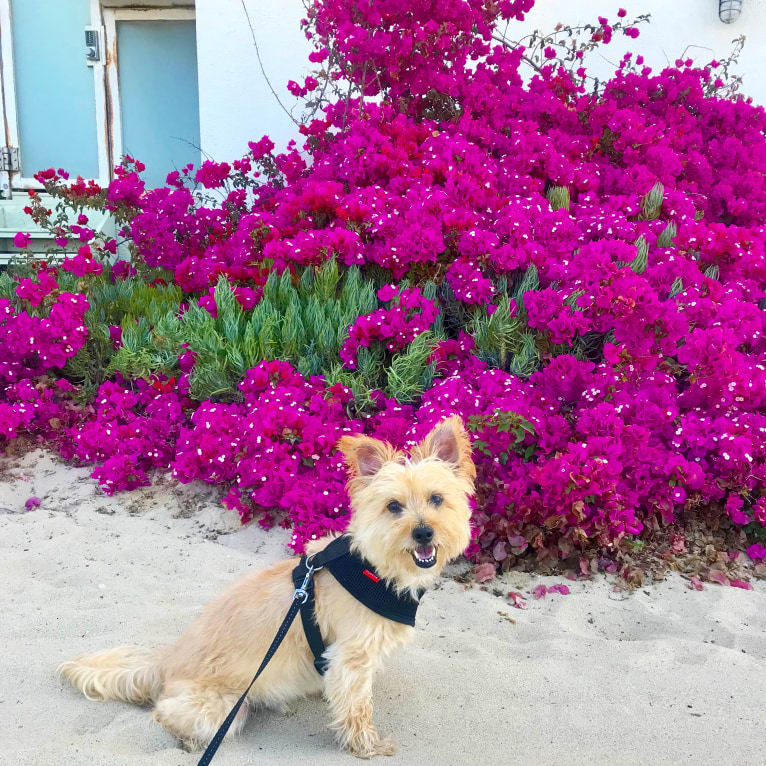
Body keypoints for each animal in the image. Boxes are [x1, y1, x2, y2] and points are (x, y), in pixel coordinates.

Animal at [58, 416, 474, 760]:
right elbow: (357, 708)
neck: (376, 567)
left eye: (437, 499)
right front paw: (366, 746)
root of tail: (168, 659)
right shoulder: (353, 660)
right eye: (393, 507)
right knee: (165, 715)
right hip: (222, 708)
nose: (423, 532)